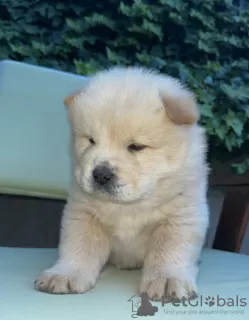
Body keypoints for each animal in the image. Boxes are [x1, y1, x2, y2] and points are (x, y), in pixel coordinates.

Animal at [35, 66, 209, 302]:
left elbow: (168, 250)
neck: (128, 207)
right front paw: (64, 275)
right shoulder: (83, 215)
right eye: (90, 140)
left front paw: (167, 281)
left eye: (136, 146)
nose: (101, 174)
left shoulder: (179, 218)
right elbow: (78, 247)